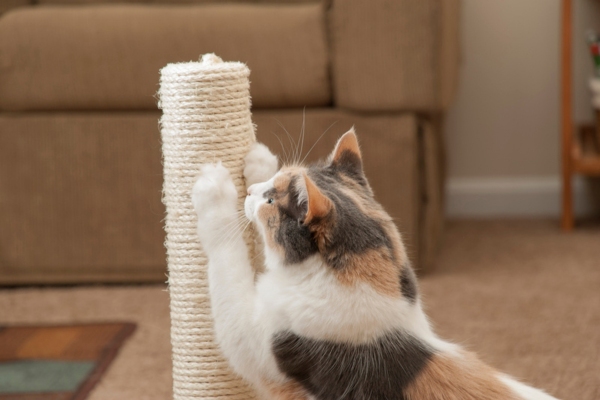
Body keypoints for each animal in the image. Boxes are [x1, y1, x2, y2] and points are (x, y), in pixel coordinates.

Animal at [192, 130, 556, 400]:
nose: (252, 192)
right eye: (272, 184)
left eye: (270, 201)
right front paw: (259, 161)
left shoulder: (253, 341)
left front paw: (214, 191)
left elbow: (227, 258)